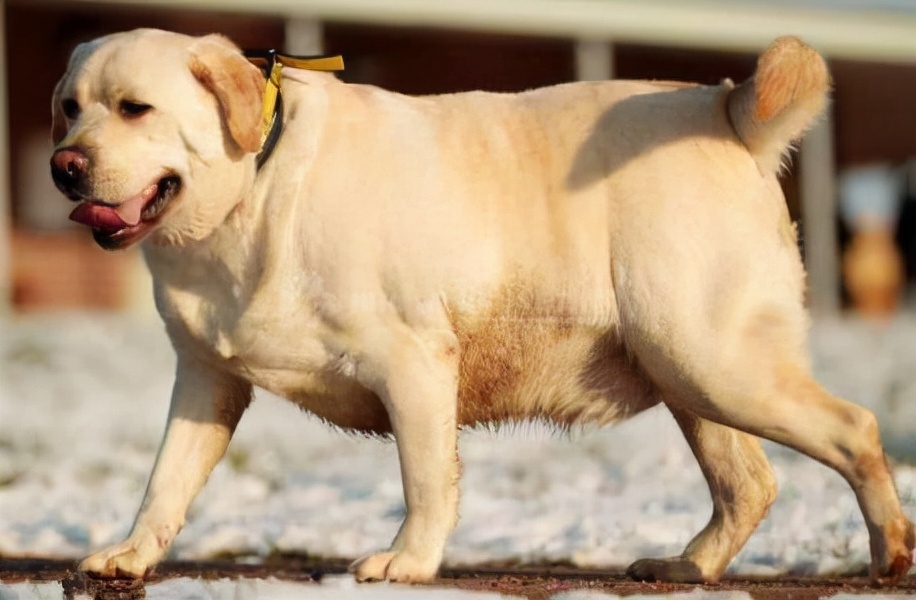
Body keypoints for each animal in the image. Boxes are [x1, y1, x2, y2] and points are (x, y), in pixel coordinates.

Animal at [52, 29, 916, 584]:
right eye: (69, 107)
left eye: (134, 109)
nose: (63, 166)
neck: (253, 190)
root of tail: (727, 112)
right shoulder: (207, 378)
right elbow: (166, 481)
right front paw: (131, 555)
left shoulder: (413, 361)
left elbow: (426, 479)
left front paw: (408, 561)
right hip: (689, 373)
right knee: (749, 483)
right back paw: (687, 564)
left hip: (714, 361)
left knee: (857, 430)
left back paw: (889, 554)